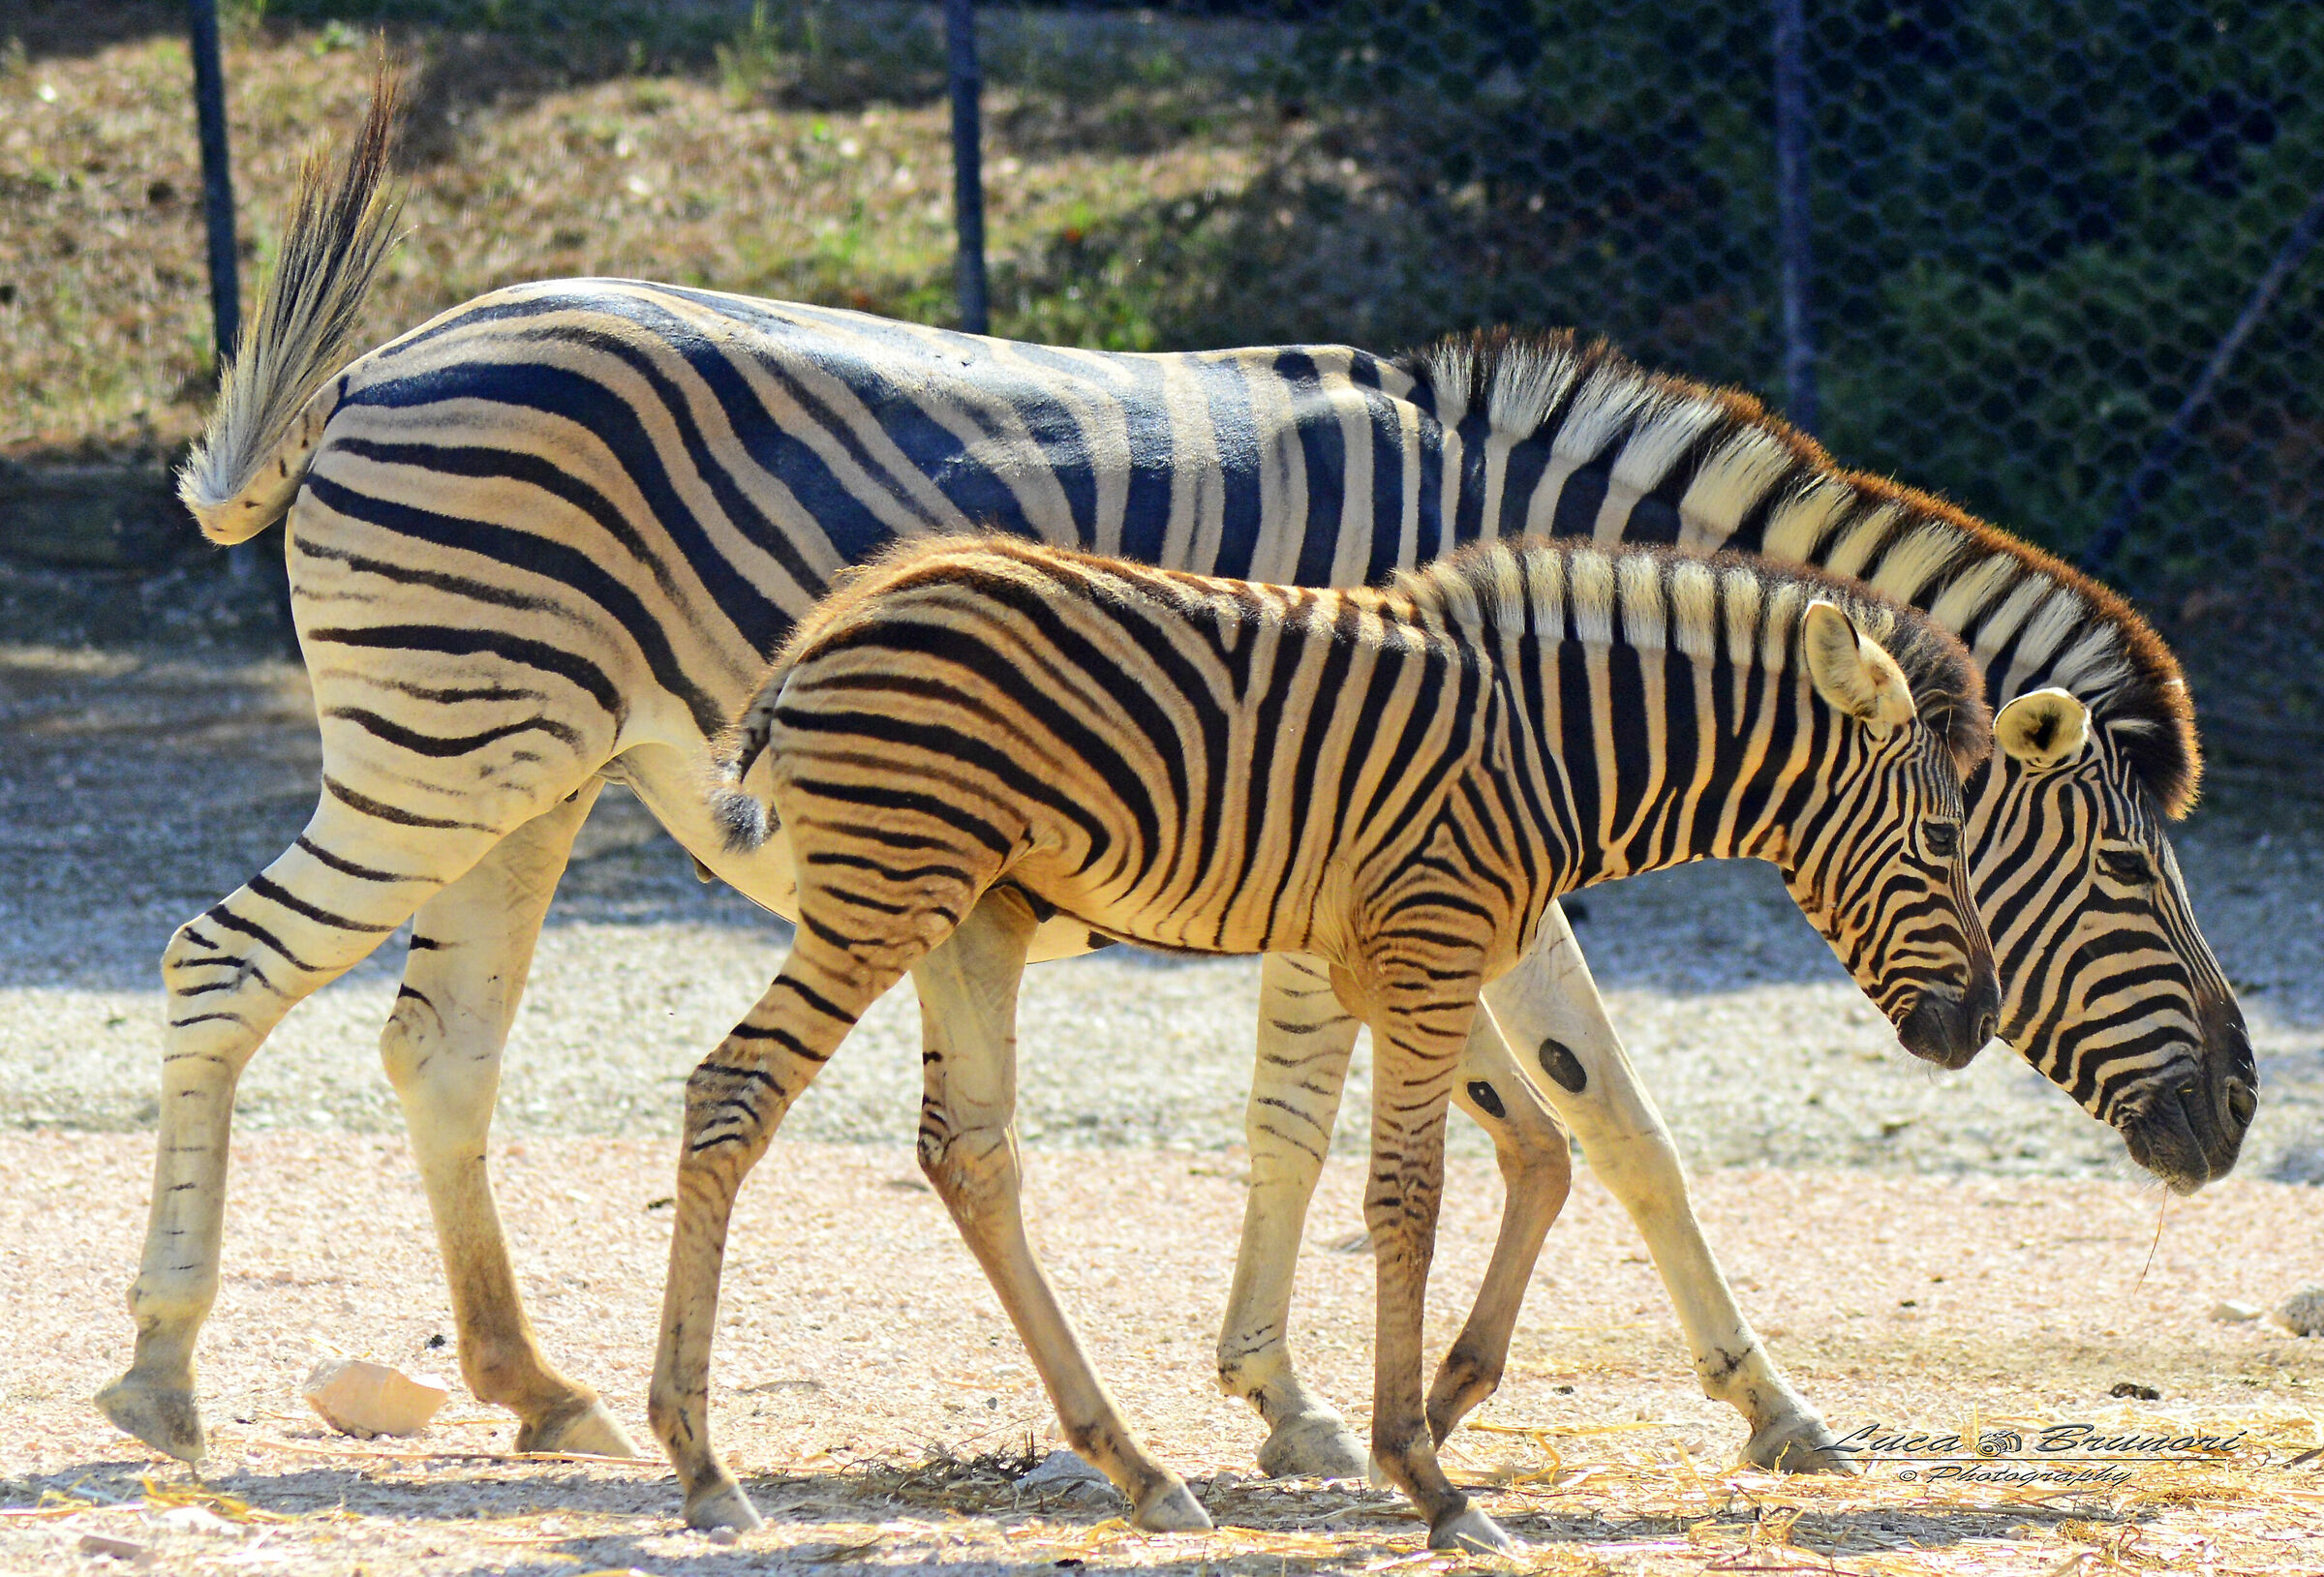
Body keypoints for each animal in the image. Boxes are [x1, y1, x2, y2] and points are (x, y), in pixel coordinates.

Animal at [662, 531, 2000, 1547]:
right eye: (1943, 839)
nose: (1980, 1023)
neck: (1552, 747)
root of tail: (835, 620)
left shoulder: (1395, 957)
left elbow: (1528, 1152)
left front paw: (1430, 1412)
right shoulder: (1431, 944)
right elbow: (1411, 1192)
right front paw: (1427, 1477)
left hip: (972, 911)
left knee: (969, 1153)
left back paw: (1138, 1470)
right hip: (888, 891)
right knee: (735, 1091)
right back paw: (703, 1466)